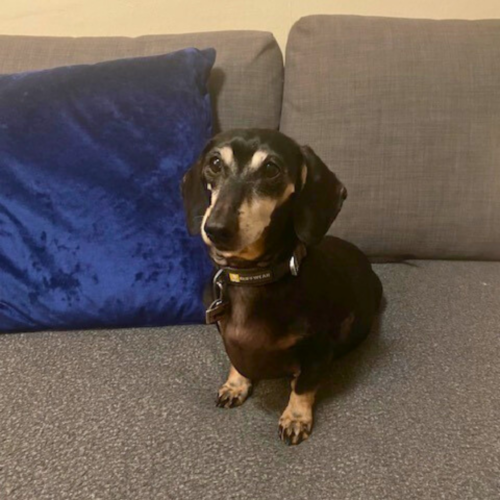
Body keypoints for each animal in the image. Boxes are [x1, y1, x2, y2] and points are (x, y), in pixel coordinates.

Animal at [182, 129, 380, 446]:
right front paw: (235, 385)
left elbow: (303, 386)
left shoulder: (318, 349)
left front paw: (296, 418)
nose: (216, 229)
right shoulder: (226, 335)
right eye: (214, 163)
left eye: (271, 169)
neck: (253, 276)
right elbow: (236, 361)